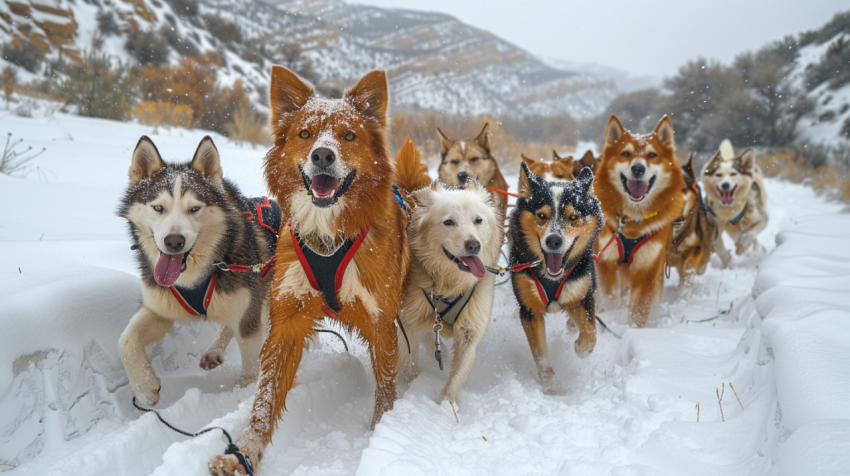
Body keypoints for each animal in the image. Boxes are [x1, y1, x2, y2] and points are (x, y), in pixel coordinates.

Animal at [117, 136, 276, 408]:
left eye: (194, 209)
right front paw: (145, 388)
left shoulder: (249, 319)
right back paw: (214, 351)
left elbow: (250, 367)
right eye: (158, 208)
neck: (194, 278)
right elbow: (126, 341)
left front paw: (244, 393)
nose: (174, 241)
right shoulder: (160, 308)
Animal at [392, 137, 504, 406]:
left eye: (478, 220)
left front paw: (444, 406)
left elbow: (456, 378)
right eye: (449, 222)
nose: (473, 245)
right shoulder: (408, 322)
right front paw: (411, 387)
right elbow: (409, 361)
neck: (450, 283)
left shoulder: (470, 330)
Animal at [506, 162, 600, 392]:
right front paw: (551, 385)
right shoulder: (530, 310)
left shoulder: (580, 296)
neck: (552, 278)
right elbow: (540, 354)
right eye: (542, 216)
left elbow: (591, 331)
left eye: (573, 217)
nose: (554, 241)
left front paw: (581, 348)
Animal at [592, 115, 684, 328]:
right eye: (625, 154)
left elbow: (640, 309)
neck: (633, 219)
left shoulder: (648, 269)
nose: (638, 168)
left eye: (652, 155)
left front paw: (634, 330)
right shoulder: (606, 264)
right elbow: (609, 299)